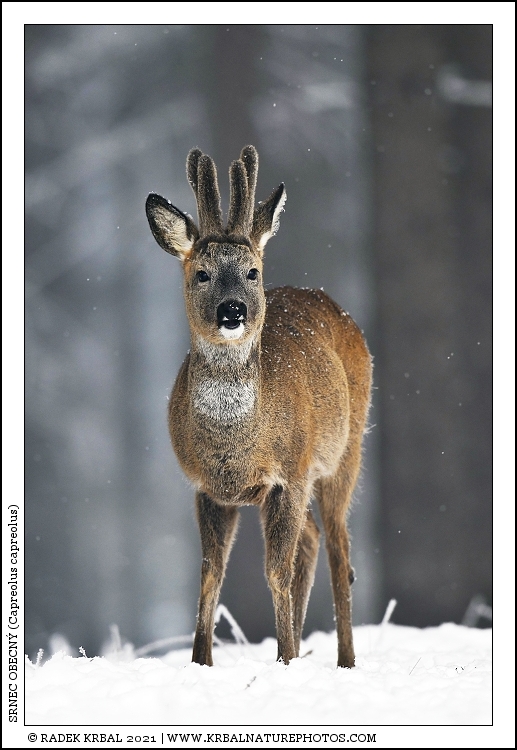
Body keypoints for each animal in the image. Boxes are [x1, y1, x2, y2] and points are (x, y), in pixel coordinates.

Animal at [145, 145, 372, 668]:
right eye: (202, 273)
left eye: (252, 271)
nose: (233, 310)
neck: (237, 445)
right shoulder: (207, 486)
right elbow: (211, 572)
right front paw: (200, 662)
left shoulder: (289, 473)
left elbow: (275, 572)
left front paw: (284, 660)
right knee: (312, 540)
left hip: (344, 452)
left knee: (339, 548)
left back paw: (344, 660)